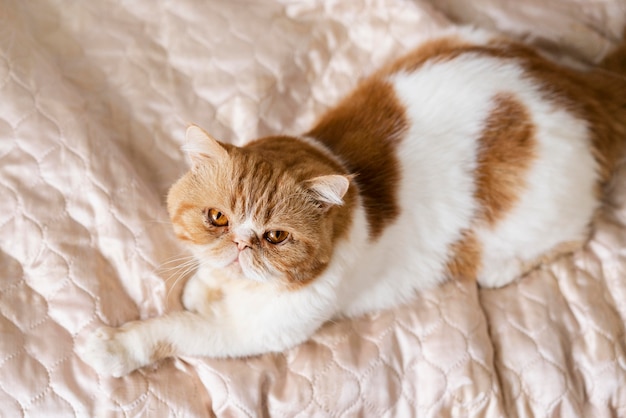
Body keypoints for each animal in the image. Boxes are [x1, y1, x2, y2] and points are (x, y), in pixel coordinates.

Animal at [83, 27, 624, 378]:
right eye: (217, 218)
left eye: (275, 237)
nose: (240, 246)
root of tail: (582, 88)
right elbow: (202, 282)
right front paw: (202, 284)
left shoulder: (251, 335)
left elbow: (177, 329)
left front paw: (118, 347)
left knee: (574, 235)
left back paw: (502, 268)